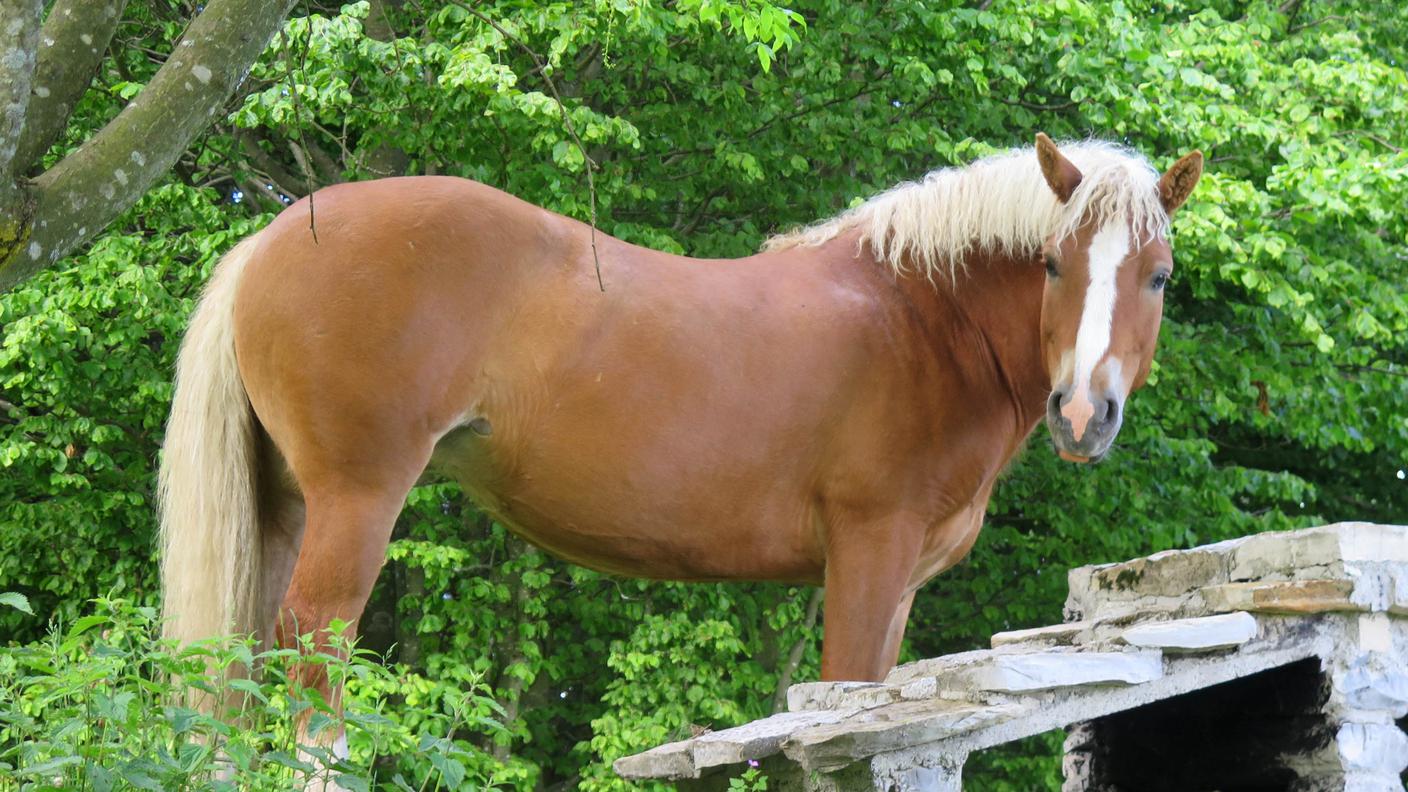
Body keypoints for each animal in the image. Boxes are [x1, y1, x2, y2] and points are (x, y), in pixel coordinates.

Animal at [161, 132, 1199, 760]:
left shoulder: (900, 589)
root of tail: (271, 236)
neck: (917, 317)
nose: (1083, 415)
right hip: (355, 502)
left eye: (1157, 276)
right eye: (1053, 264)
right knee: (312, 661)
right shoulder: (868, 556)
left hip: (284, 506)